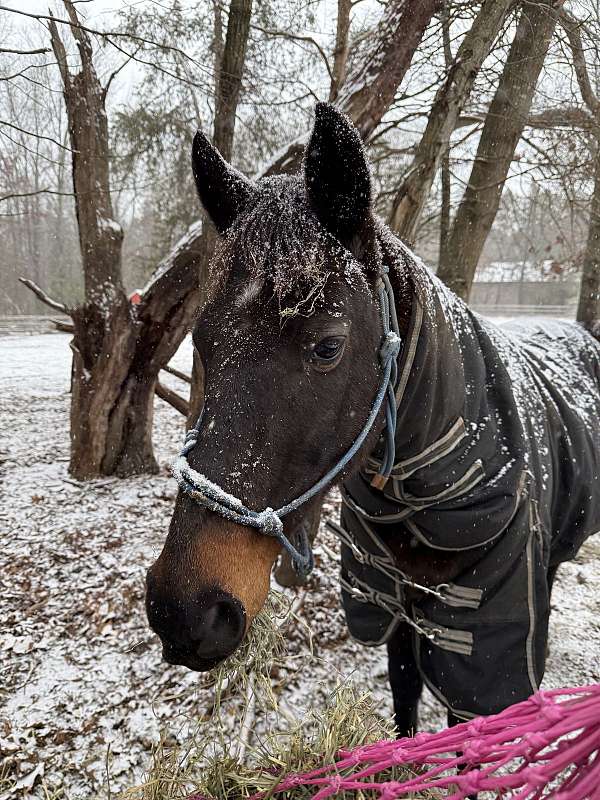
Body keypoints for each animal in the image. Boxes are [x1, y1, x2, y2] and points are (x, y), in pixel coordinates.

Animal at [145, 103, 600, 736]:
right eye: (202, 343)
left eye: (327, 347)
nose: (182, 611)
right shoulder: (390, 603)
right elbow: (404, 690)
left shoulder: (476, 638)